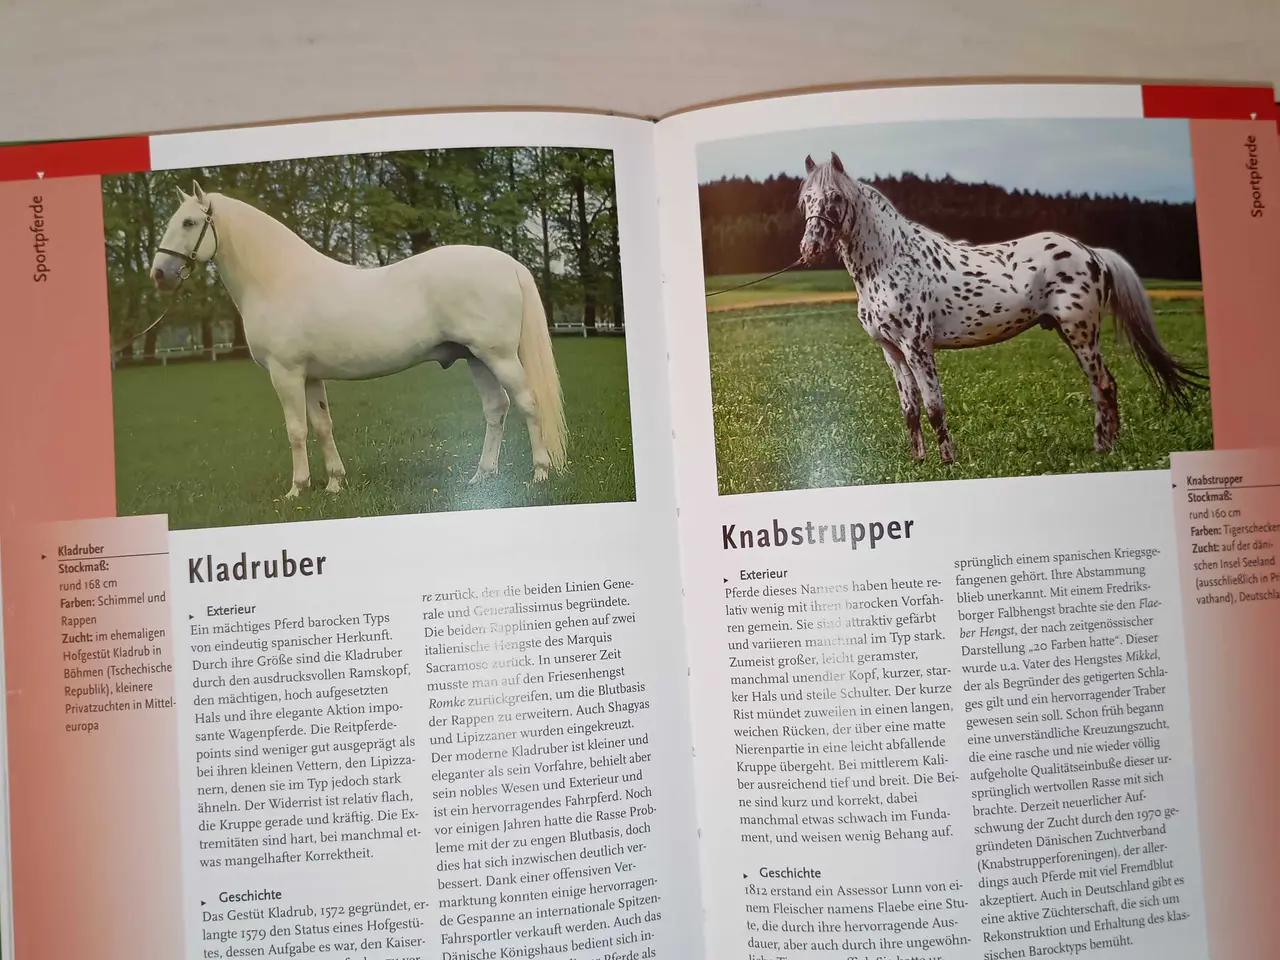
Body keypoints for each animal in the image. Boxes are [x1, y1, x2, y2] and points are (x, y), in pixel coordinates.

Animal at [148, 182, 567, 500]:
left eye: (189, 222)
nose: (159, 273)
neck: (279, 280)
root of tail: (508, 263)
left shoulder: (286, 374)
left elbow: (296, 430)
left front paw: (297, 489)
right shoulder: (310, 376)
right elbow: (322, 425)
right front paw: (334, 483)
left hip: (499, 357)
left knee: (528, 403)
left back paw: (539, 473)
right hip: (477, 358)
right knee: (496, 409)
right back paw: (482, 476)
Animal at [796, 153, 1206, 464]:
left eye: (835, 197)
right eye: (806, 201)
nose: (809, 249)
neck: (889, 262)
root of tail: (1092, 253)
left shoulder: (917, 347)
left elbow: (934, 406)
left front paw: (948, 461)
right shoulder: (892, 352)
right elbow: (910, 410)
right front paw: (919, 461)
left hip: (1081, 333)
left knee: (1102, 385)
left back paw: (1101, 448)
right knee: (1108, 385)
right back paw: (1110, 446)